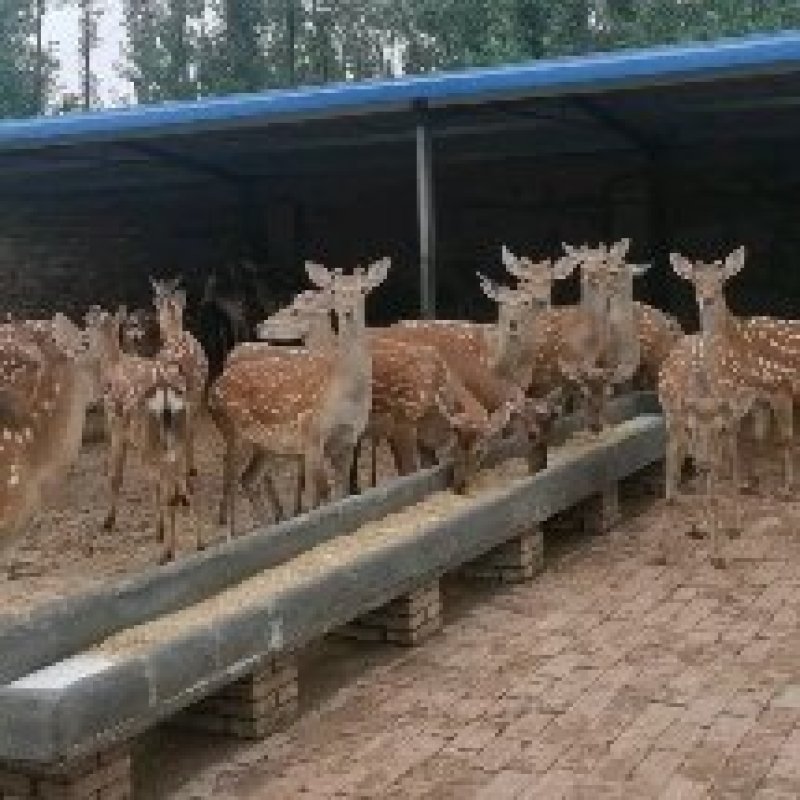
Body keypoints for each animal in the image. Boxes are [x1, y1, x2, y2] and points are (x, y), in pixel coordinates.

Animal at [209, 259, 389, 537]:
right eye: (334, 290)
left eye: (363, 289)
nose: (347, 311)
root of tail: (213, 388)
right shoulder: (312, 436)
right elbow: (322, 493)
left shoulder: (348, 440)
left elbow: (341, 491)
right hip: (233, 433)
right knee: (229, 482)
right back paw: (231, 534)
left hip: (265, 445)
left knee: (248, 479)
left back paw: (267, 526)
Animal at [669, 246, 799, 498]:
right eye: (695, 280)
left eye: (721, 280)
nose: (707, 299)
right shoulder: (756, 397)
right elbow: (754, 435)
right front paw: (751, 482)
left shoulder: (779, 385)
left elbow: (786, 437)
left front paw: (787, 488)